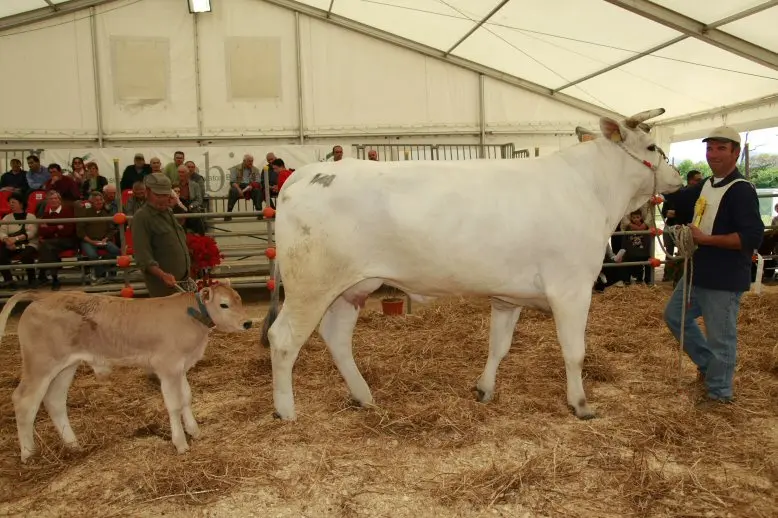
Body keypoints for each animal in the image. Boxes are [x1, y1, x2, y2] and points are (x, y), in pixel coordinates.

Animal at [1, 283, 252, 463]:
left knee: (54, 401)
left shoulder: (181, 367)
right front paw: (181, 443)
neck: (190, 317)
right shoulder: (167, 366)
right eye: (224, 305)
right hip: (40, 363)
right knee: (24, 400)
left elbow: (186, 398)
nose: (247, 323)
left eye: (239, 299)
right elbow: (173, 404)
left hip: (65, 366)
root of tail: (43, 297)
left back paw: (74, 446)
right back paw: (29, 454)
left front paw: (195, 431)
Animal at [260, 108, 684, 422]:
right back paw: (286, 411)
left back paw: (364, 396)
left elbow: (499, 346)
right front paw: (580, 405)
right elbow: (574, 351)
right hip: (311, 284)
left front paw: (484, 388)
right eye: (651, 145)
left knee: (336, 337)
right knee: (283, 339)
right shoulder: (572, 288)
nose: (677, 177)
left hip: (351, 288)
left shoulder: (508, 295)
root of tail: (302, 174)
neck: (592, 190)